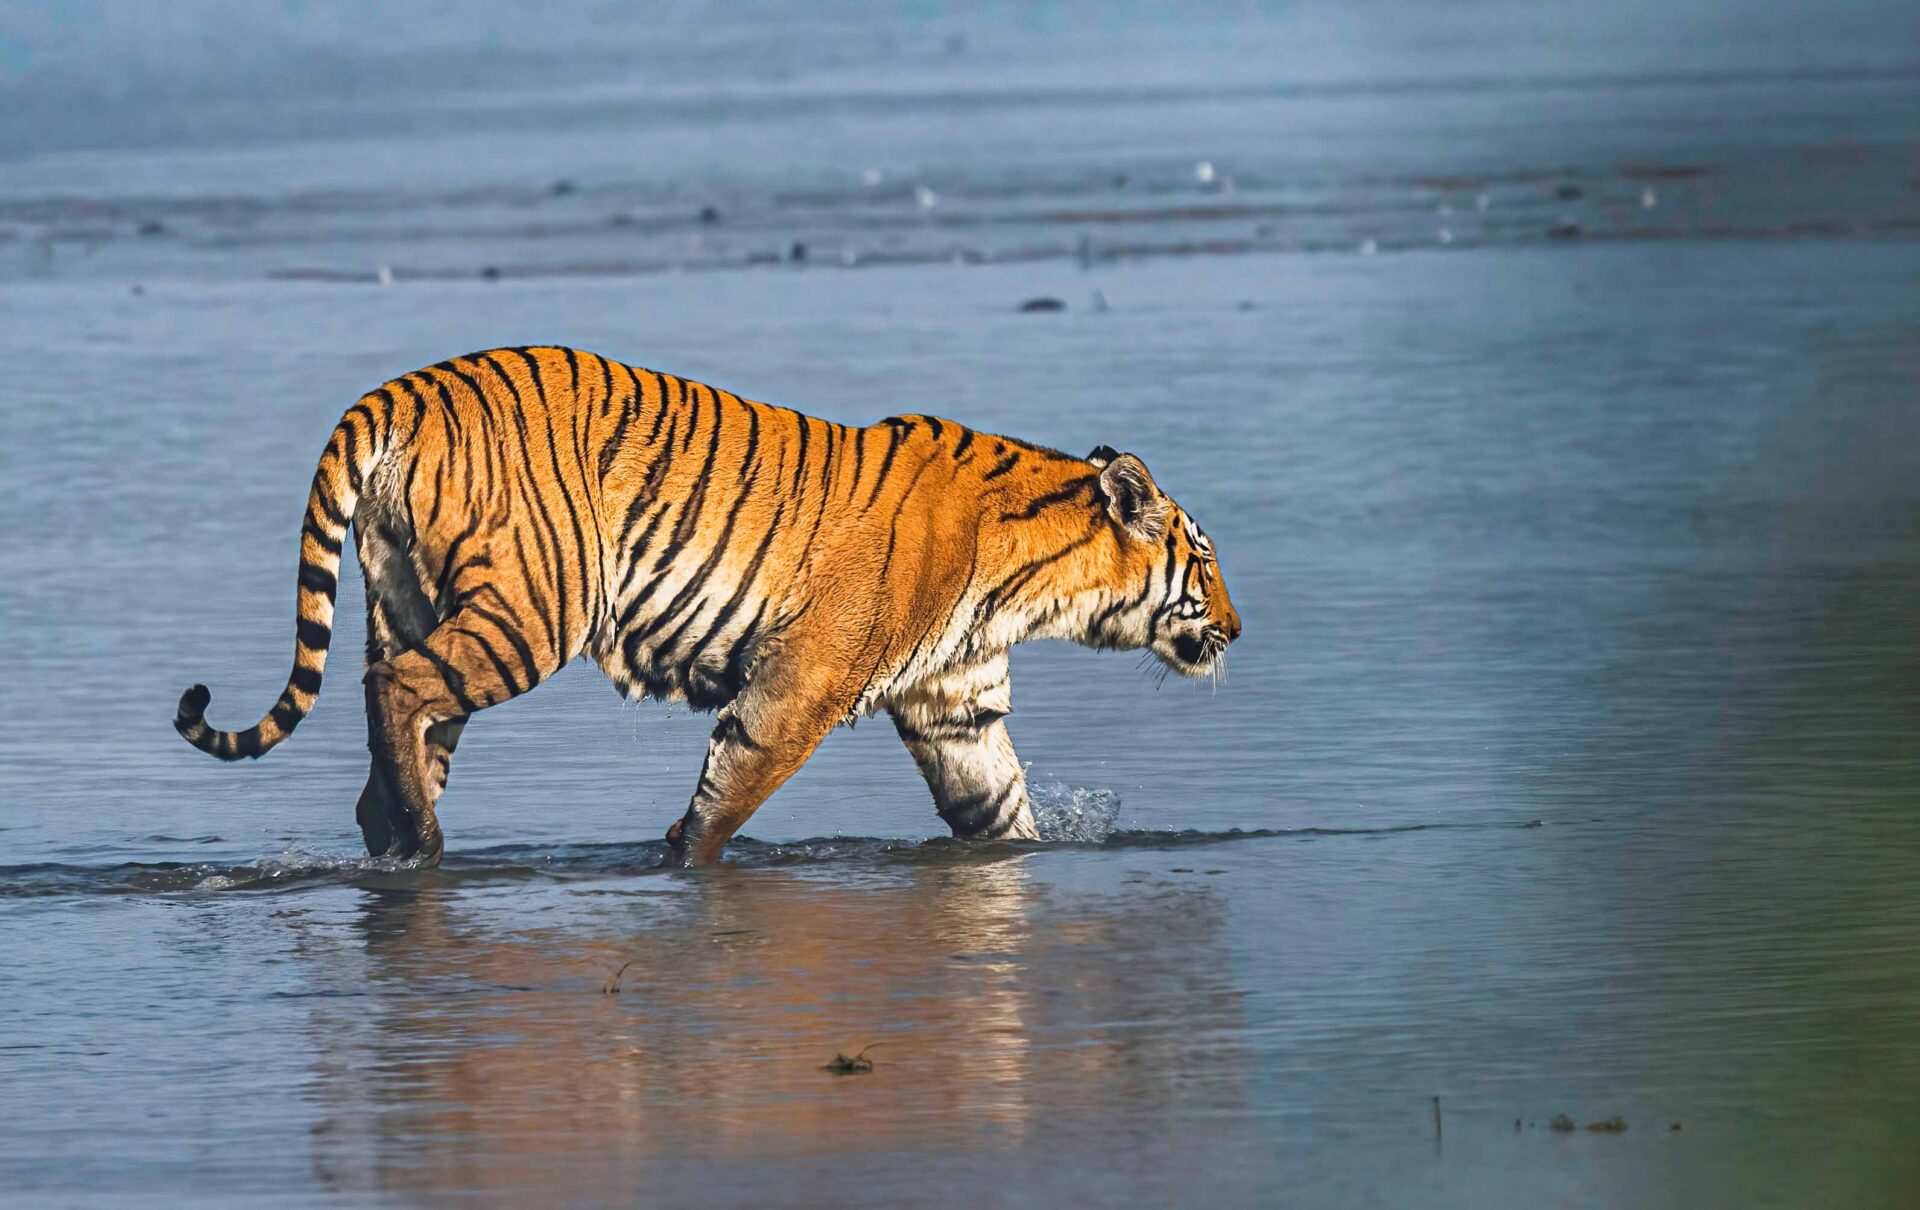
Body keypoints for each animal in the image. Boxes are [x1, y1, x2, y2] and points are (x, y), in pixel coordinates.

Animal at [174, 347, 1241, 867]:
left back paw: (404, 844)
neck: (1028, 584)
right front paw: (686, 861)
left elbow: (999, 809)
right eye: (1206, 560)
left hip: (410, 598)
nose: (1237, 628)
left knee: (387, 737)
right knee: (394, 690)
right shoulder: (802, 683)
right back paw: (428, 846)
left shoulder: (957, 705)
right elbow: (728, 797)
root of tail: (401, 391)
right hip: (531, 611)